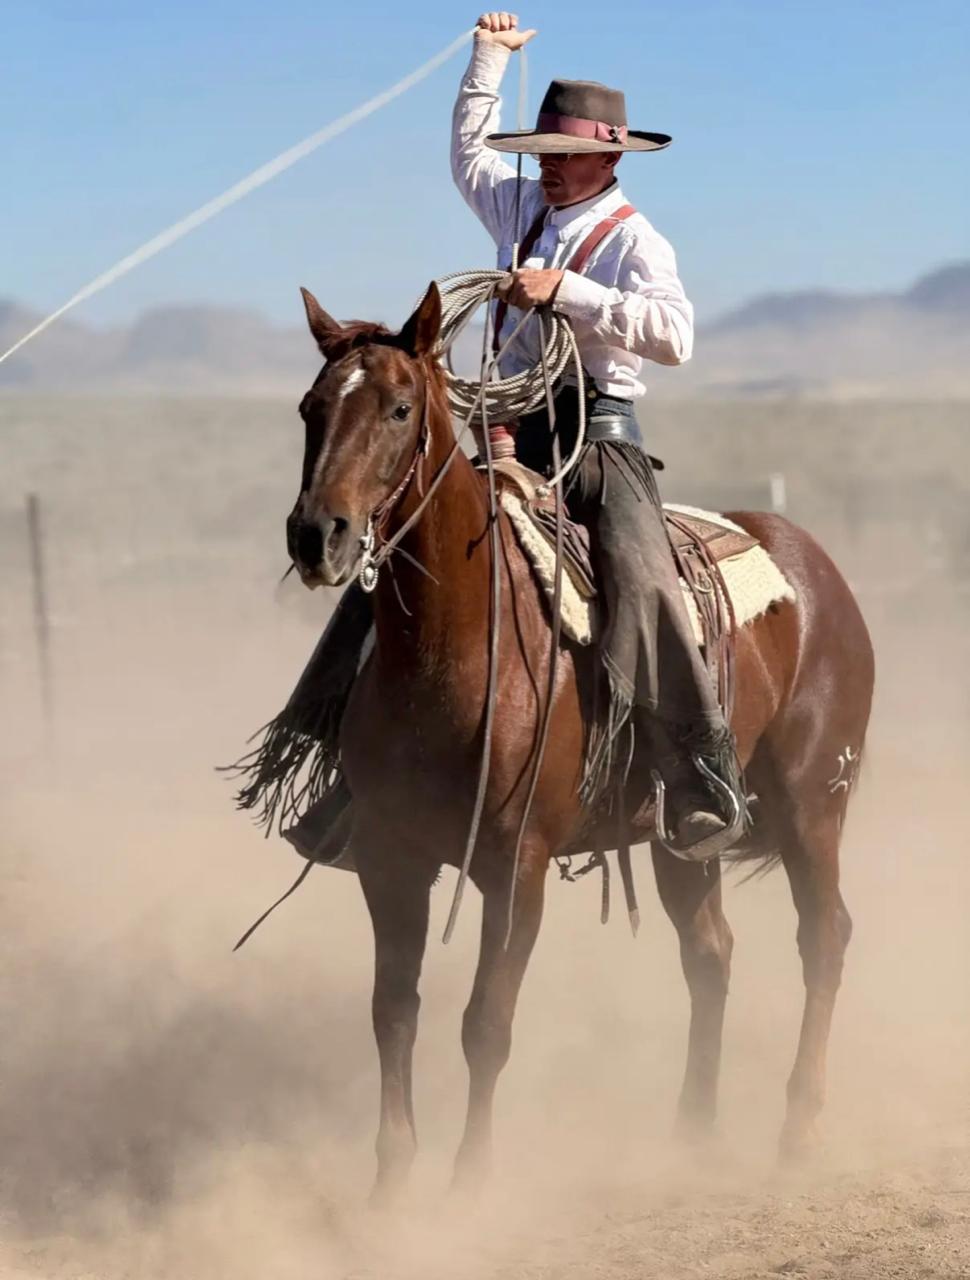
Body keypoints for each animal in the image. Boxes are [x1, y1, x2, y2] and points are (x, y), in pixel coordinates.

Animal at [283, 280, 874, 1203]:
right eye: (311, 408)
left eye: (399, 407)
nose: (319, 536)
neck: (456, 645)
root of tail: (818, 573)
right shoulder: (390, 859)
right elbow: (393, 1013)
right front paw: (391, 1189)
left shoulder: (516, 867)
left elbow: (485, 1023)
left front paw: (470, 1187)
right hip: (683, 836)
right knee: (711, 953)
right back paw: (692, 1132)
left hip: (816, 803)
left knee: (824, 938)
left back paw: (798, 1127)